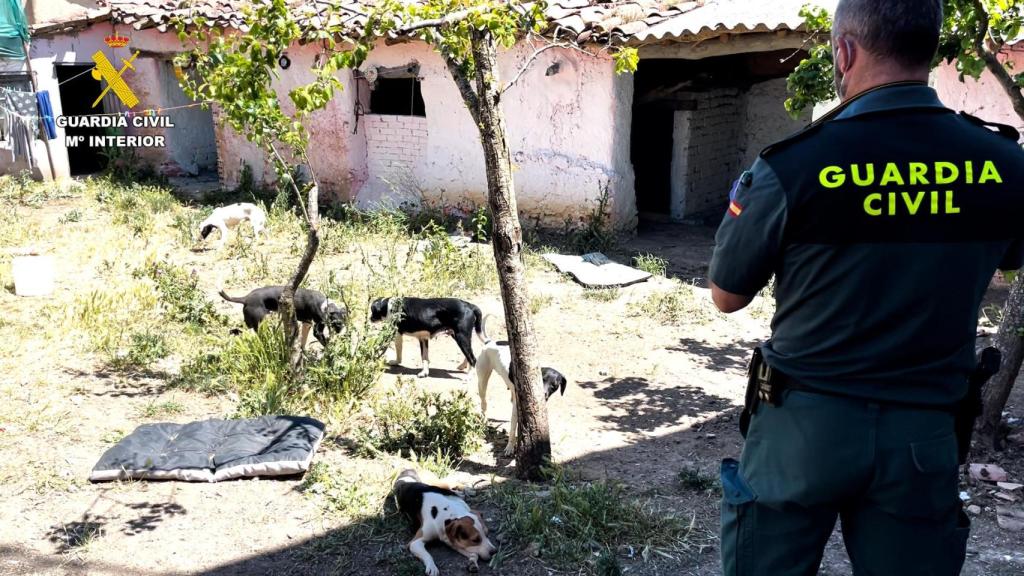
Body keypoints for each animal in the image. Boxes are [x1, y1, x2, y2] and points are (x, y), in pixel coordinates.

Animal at [220, 284, 348, 348]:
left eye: (343, 322)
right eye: (336, 324)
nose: (342, 333)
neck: (325, 305)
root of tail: (245, 298)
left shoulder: (306, 323)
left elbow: (303, 342)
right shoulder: (317, 330)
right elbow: (325, 344)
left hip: (250, 325)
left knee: (236, 331)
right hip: (261, 325)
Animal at [473, 313, 569, 453]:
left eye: (555, 386)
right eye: (542, 379)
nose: (543, 394)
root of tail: (489, 342)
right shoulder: (516, 408)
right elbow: (513, 428)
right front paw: (510, 447)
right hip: (482, 381)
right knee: (484, 402)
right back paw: (484, 418)